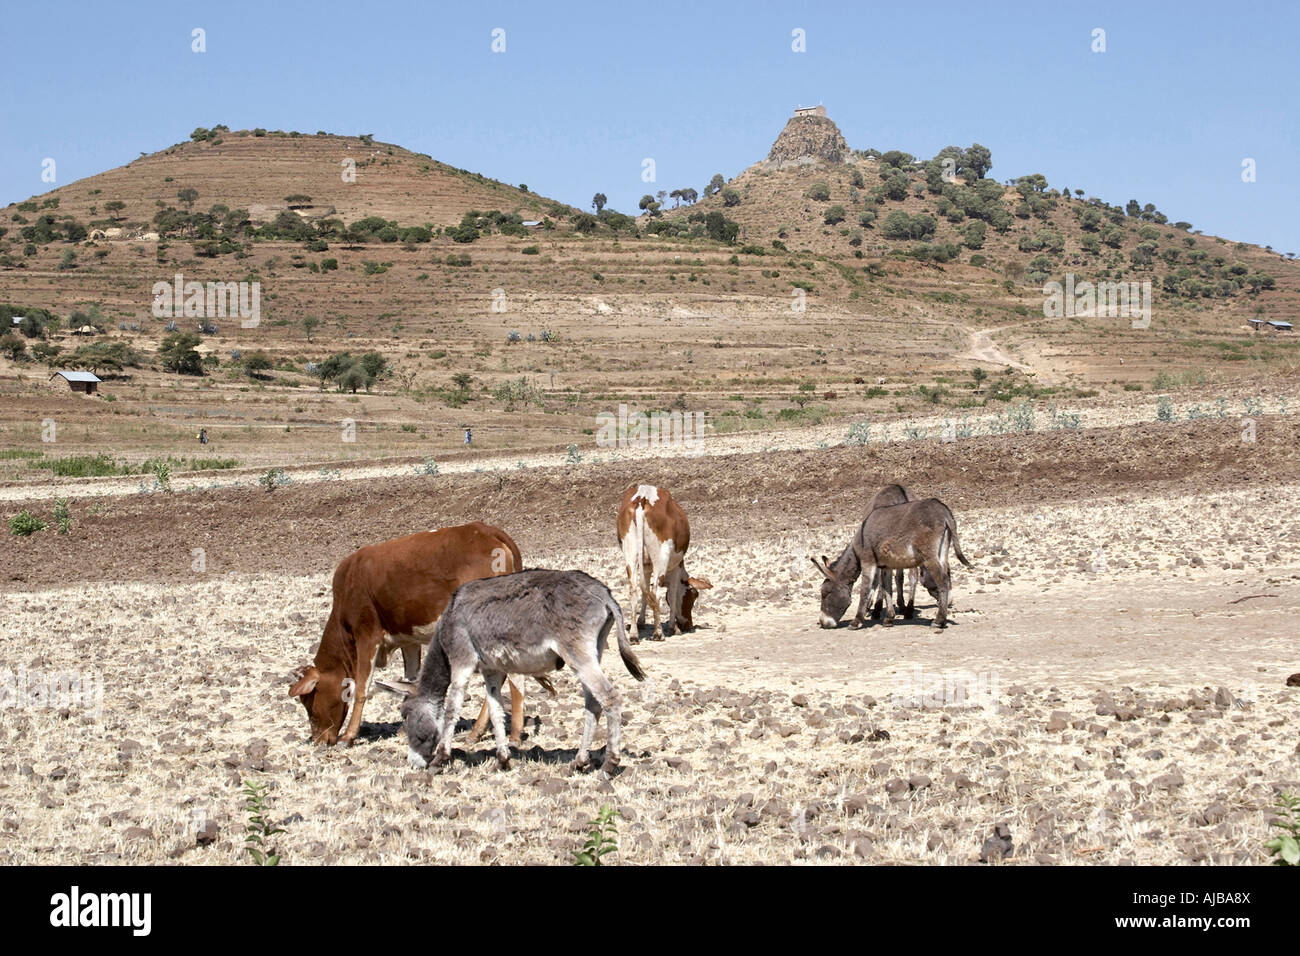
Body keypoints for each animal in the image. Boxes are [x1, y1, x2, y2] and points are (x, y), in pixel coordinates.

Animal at [288, 522, 524, 746]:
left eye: (309, 700)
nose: (319, 739)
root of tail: (487, 530)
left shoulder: (367, 636)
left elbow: (361, 688)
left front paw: (348, 736)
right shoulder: (408, 640)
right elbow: (410, 682)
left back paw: (508, 734)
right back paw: (482, 732)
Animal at [402, 569, 646, 773]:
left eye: (406, 717)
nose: (413, 763)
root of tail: (602, 592)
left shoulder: (462, 662)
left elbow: (452, 709)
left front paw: (440, 758)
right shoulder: (492, 670)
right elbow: (496, 712)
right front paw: (502, 760)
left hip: (578, 654)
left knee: (610, 698)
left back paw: (609, 764)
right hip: (593, 652)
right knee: (594, 703)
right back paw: (579, 761)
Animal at [617, 484, 712, 640]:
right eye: (693, 596)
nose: (689, 625)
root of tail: (643, 498)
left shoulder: (646, 567)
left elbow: (644, 593)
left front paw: (641, 622)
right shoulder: (676, 568)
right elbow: (672, 595)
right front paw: (673, 627)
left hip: (630, 555)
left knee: (634, 590)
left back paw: (634, 635)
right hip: (661, 557)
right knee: (656, 592)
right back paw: (658, 633)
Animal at [811, 498, 972, 630]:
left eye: (825, 593)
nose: (823, 623)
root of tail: (943, 510)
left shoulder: (868, 562)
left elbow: (865, 590)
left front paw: (856, 621)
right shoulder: (885, 566)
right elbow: (887, 588)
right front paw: (889, 619)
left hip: (929, 556)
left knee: (942, 582)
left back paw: (938, 621)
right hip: (942, 553)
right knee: (947, 577)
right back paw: (942, 617)